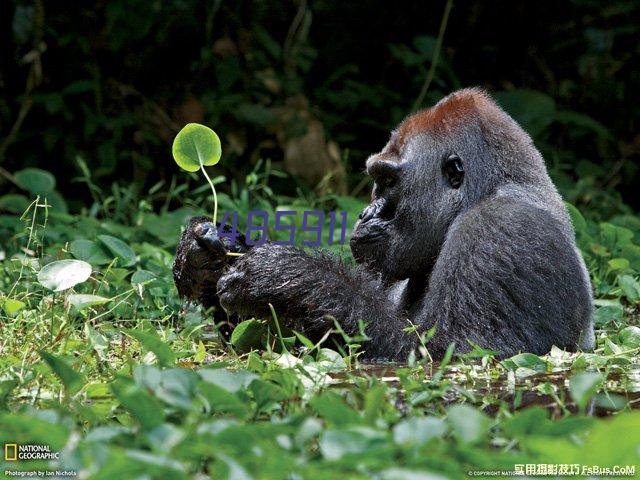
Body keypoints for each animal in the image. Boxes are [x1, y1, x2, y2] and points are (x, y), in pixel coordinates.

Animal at [171, 89, 596, 360]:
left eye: (388, 182)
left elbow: (450, 352)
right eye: (377, 179)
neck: (487, 189)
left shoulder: (500, 229)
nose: (365, 213)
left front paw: (287, 277)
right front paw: (203, 258)